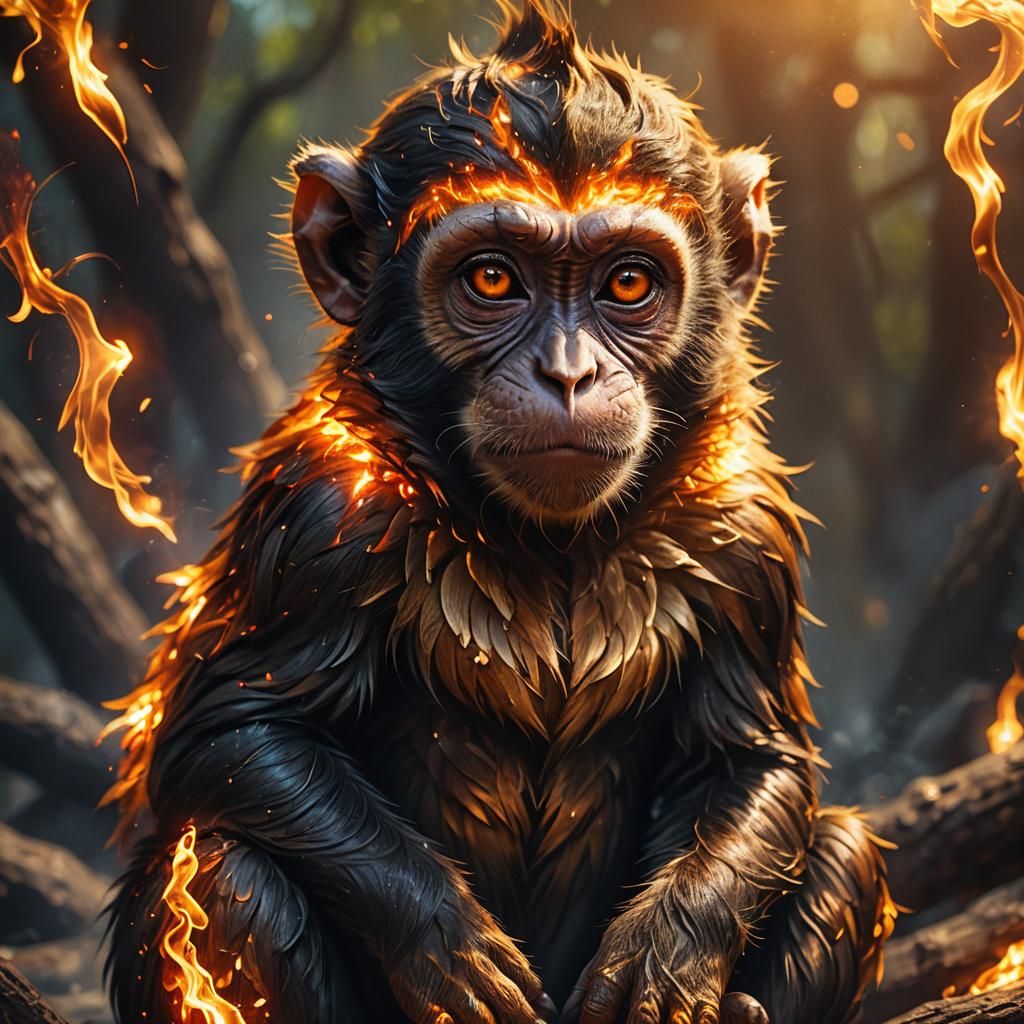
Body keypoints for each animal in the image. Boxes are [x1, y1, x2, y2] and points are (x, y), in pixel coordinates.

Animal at [105, 4, 895, 1024]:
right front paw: (445, 942)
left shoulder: (745, 536)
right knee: (222, 868)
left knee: (844, 850)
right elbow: (232, 728)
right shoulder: (317, 516)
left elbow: (751, 758)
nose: (568, 374)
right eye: (491, 280)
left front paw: (667, 955)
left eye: (628, 283)